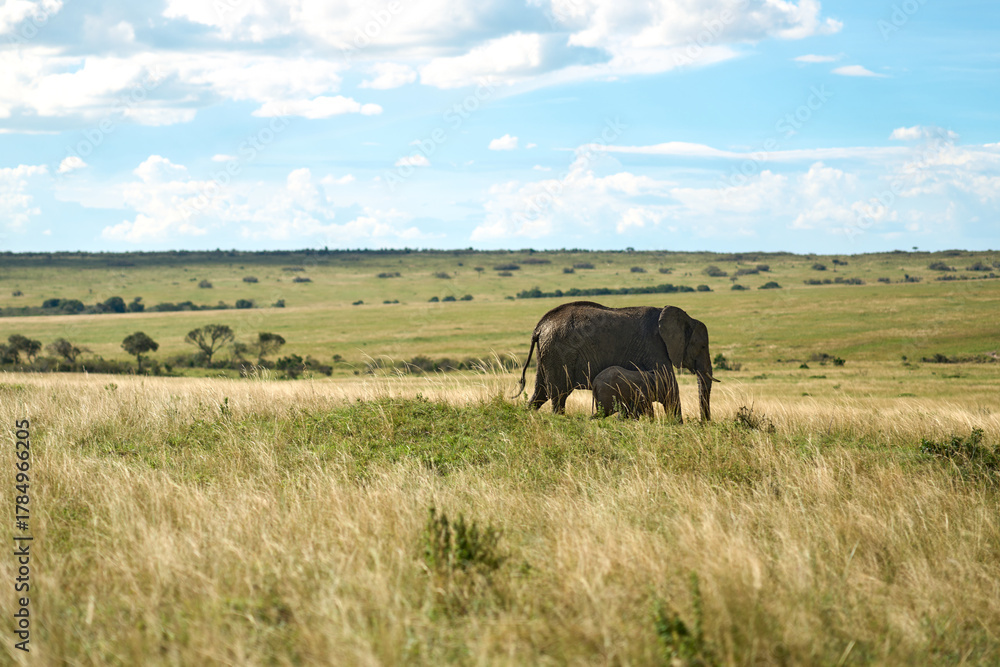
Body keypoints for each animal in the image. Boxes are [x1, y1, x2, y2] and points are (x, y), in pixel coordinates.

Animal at [514, 301, 717, 420]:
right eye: (702, 347)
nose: (704, 424)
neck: (685, 318)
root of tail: (539, 327)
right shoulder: (655, 347)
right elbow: (670, 386)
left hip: (547, 353)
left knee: (540, 393)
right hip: (559, 353)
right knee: (558, 395)